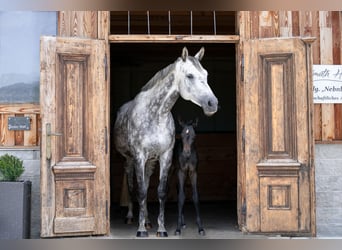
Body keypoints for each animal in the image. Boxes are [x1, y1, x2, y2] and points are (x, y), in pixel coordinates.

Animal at [113, 46, 218, 236]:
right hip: (130, 160)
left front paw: (161, 229)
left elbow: (160, 192)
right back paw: (131, 217)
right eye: (189, 75)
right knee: (133, 187)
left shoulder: (165, 156)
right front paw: (140, 230)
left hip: (150, 162)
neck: (156, 114)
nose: (212, 103)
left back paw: (148, 221)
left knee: (146, 184)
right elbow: (140, 192)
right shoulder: (139, 155)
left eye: (205, 74)